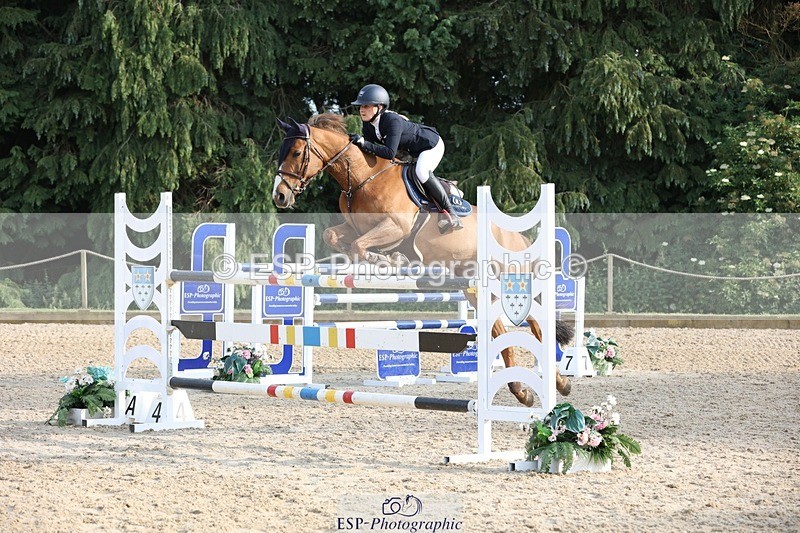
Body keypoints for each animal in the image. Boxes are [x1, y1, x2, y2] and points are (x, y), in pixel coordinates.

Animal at [272, 113, 573, 406]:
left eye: (297, 152)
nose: (280, 196)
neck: (362, 178)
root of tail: (518, 238)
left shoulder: (396, 226)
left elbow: (361, 245)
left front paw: (389, 260)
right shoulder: (354, 227)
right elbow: (334, 236)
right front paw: (385, 257)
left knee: (536, 328)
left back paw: (555, 384)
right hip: (477, 290)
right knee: (501, 330)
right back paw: (523, 390)